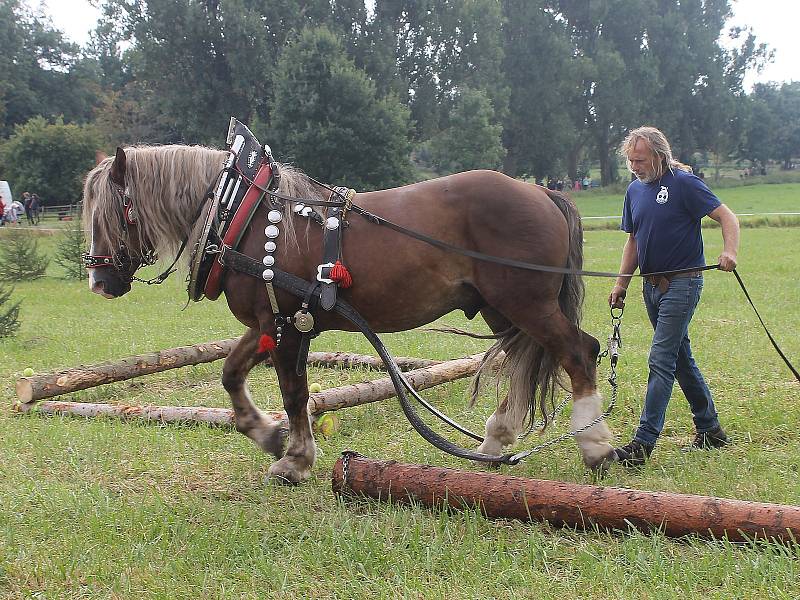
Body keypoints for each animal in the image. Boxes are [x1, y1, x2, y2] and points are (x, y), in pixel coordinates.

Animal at [84, 145, 616, 482]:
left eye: (111, 211)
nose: (98, 282)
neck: (246, 215)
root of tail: (542, 192)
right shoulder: (271, 322)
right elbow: (231, 374)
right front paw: (268, 435)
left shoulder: (288, 327)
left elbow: (295, 394)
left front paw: (294, 460)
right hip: (501, 309)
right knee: (525, 361)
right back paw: (495, 441)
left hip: (526, 303)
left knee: (578, 352)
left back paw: (595, 444)